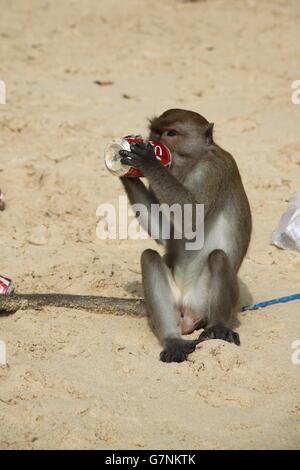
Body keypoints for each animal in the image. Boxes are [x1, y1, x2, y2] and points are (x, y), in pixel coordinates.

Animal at [118, 109, 252, 364]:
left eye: (171, 134)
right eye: (156, 131)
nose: (154, 141)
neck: (192, 164)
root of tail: (188, 311)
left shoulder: (213, 170)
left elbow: (190, 219)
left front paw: (147, 160)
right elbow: (164, 233)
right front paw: (124, 166)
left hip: (202, 300)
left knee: (218, 257)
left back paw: (218, 326)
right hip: (176, 301)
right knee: (149, 257)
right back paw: (173, 340)